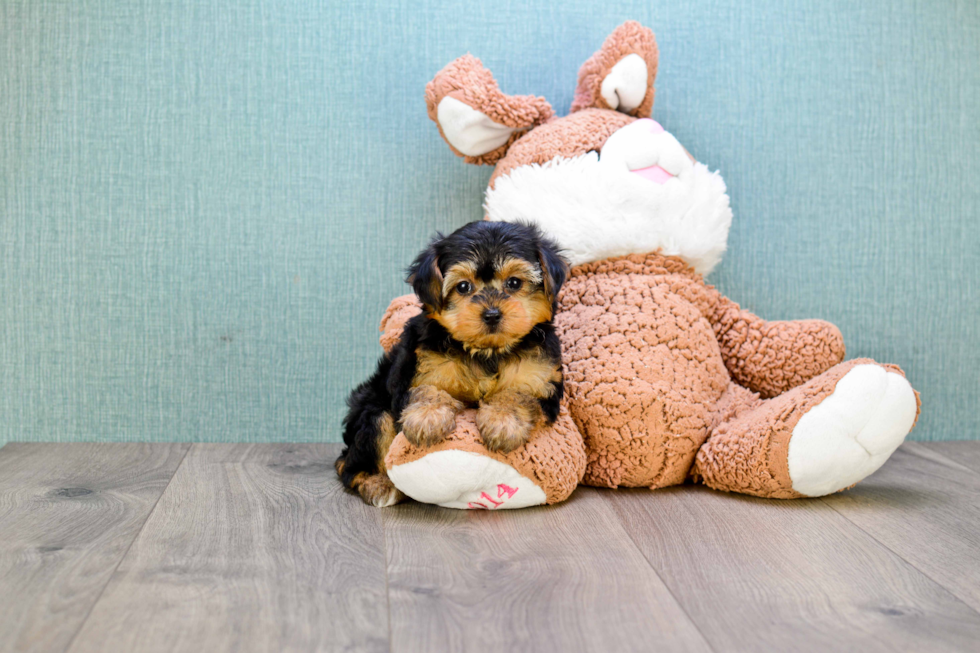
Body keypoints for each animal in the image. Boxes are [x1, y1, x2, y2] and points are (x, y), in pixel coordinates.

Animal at [334, 222, 568, 506]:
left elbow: (518, 394)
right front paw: (427, 418)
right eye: (463, 287)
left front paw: (502, 422)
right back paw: (378, 484)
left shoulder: (542, 380)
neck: (487, 352)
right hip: (372, 413)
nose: (492, 314)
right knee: (353, 461)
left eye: (514, 282)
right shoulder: (421, 367)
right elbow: (427, 389)